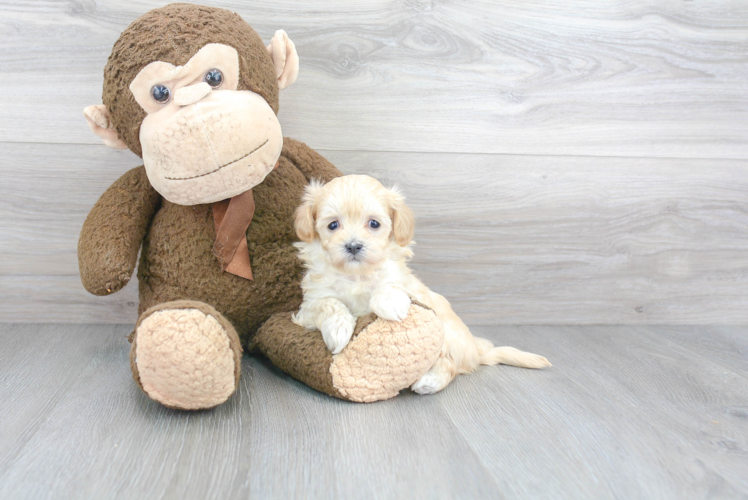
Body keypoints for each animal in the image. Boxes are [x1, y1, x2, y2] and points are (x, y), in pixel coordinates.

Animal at [292, 175, 548, 394]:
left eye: (374, 224)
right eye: (333, 225)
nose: (353, 246)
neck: (357, 275)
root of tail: (475, 351)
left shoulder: (406, 284)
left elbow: (390, 285)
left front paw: (390, 303)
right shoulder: (309, 305)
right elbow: (329, 303)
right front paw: (338, 330)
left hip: (446, 335)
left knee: (449, 365)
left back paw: (429, 382)